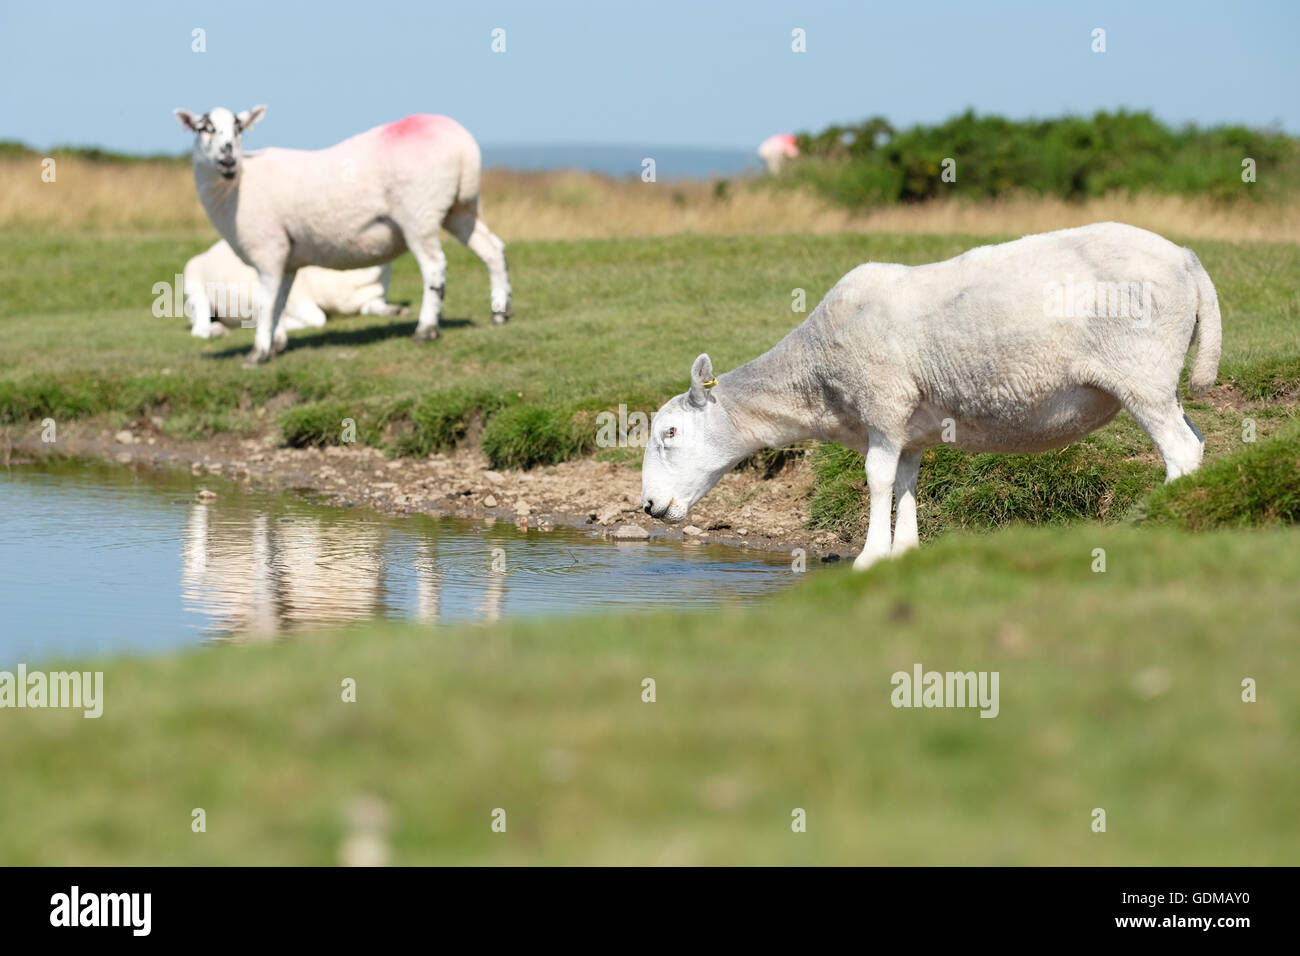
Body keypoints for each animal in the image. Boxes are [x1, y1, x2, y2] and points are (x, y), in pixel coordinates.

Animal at [171, 106, 512, 364]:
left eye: (239, 127)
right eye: (204, 128)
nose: (227, 159)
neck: (236, 186)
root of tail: (464, 146)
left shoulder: (269, 249)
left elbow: (266, 302)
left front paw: (258, 353)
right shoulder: (288, 258)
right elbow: (280, 301)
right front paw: (277, 344)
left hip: (419, 213)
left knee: (434, 268)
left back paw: (425, 330)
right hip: (460, 209)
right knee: (492, 249)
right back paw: (500, 313)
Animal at [644, 222, 1222, 567]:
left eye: (669, 432)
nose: (648, 505)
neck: (814, 377)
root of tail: (1188, 260)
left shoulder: (882, 404)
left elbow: (876, 479)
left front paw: (869, 557)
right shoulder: (910, 428)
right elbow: (905, 482)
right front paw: (904, 551)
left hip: (1141, 369)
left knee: (1179, 449)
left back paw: (1163, 523)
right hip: (1159, 377)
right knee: (1194, 441)